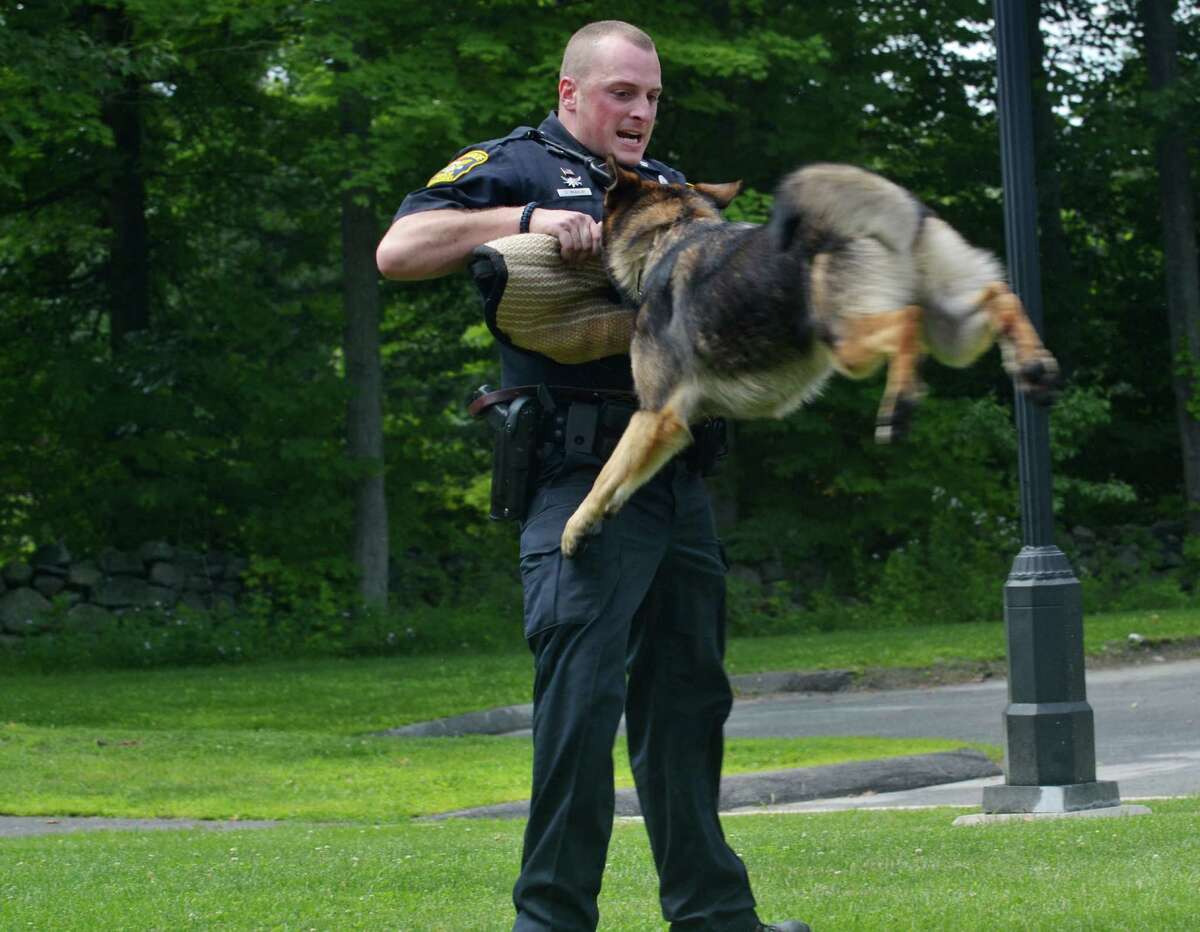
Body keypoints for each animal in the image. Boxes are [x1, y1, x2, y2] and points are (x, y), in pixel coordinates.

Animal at [556, 155, 1056, 556]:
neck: (672, 232)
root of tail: (896, 210)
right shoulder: (670, 427)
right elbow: (625, 475)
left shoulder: (656, 414)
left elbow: (605, 474)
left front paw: (575, 527)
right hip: (953, 332)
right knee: (1000, 298)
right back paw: (1034, 367)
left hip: (850, 342)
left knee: (908, 323)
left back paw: (899, 408)